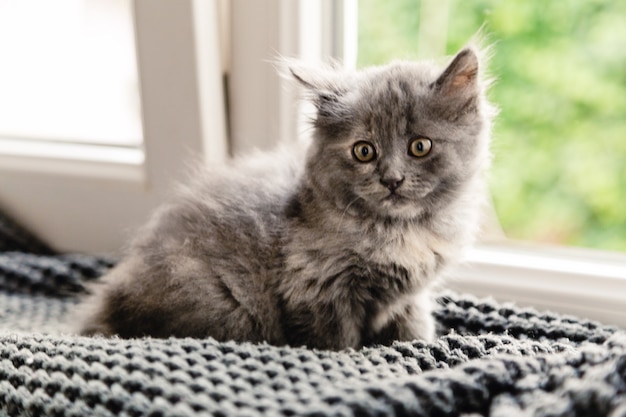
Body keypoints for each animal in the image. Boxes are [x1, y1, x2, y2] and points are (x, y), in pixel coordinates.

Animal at [77, 45, 492, 350]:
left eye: (420, 146)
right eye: (364, 151)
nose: (392, 179)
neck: (399, 231)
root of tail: (109, 298)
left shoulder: (407, 295)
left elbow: (414, 323)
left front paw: (417, 342)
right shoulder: (317, 289)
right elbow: (338, 343)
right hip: (225, 307)